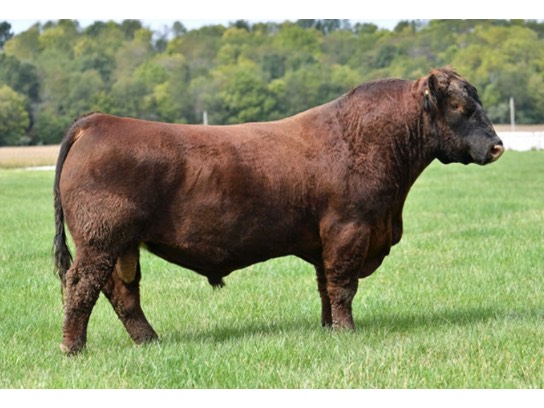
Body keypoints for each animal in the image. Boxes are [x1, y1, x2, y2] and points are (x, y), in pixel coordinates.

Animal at [53, 67, 504, 355]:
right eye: (459, 106)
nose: (498, 145)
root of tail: (98, 121)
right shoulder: (349, 230)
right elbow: (343, 287)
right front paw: (347, 332)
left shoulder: (327, 242)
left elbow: (326, 288)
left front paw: (328, 330)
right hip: (100, 240)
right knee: (81, 285)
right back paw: (72, 348)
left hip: (121, 246)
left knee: (121, 292)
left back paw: (149, 341)